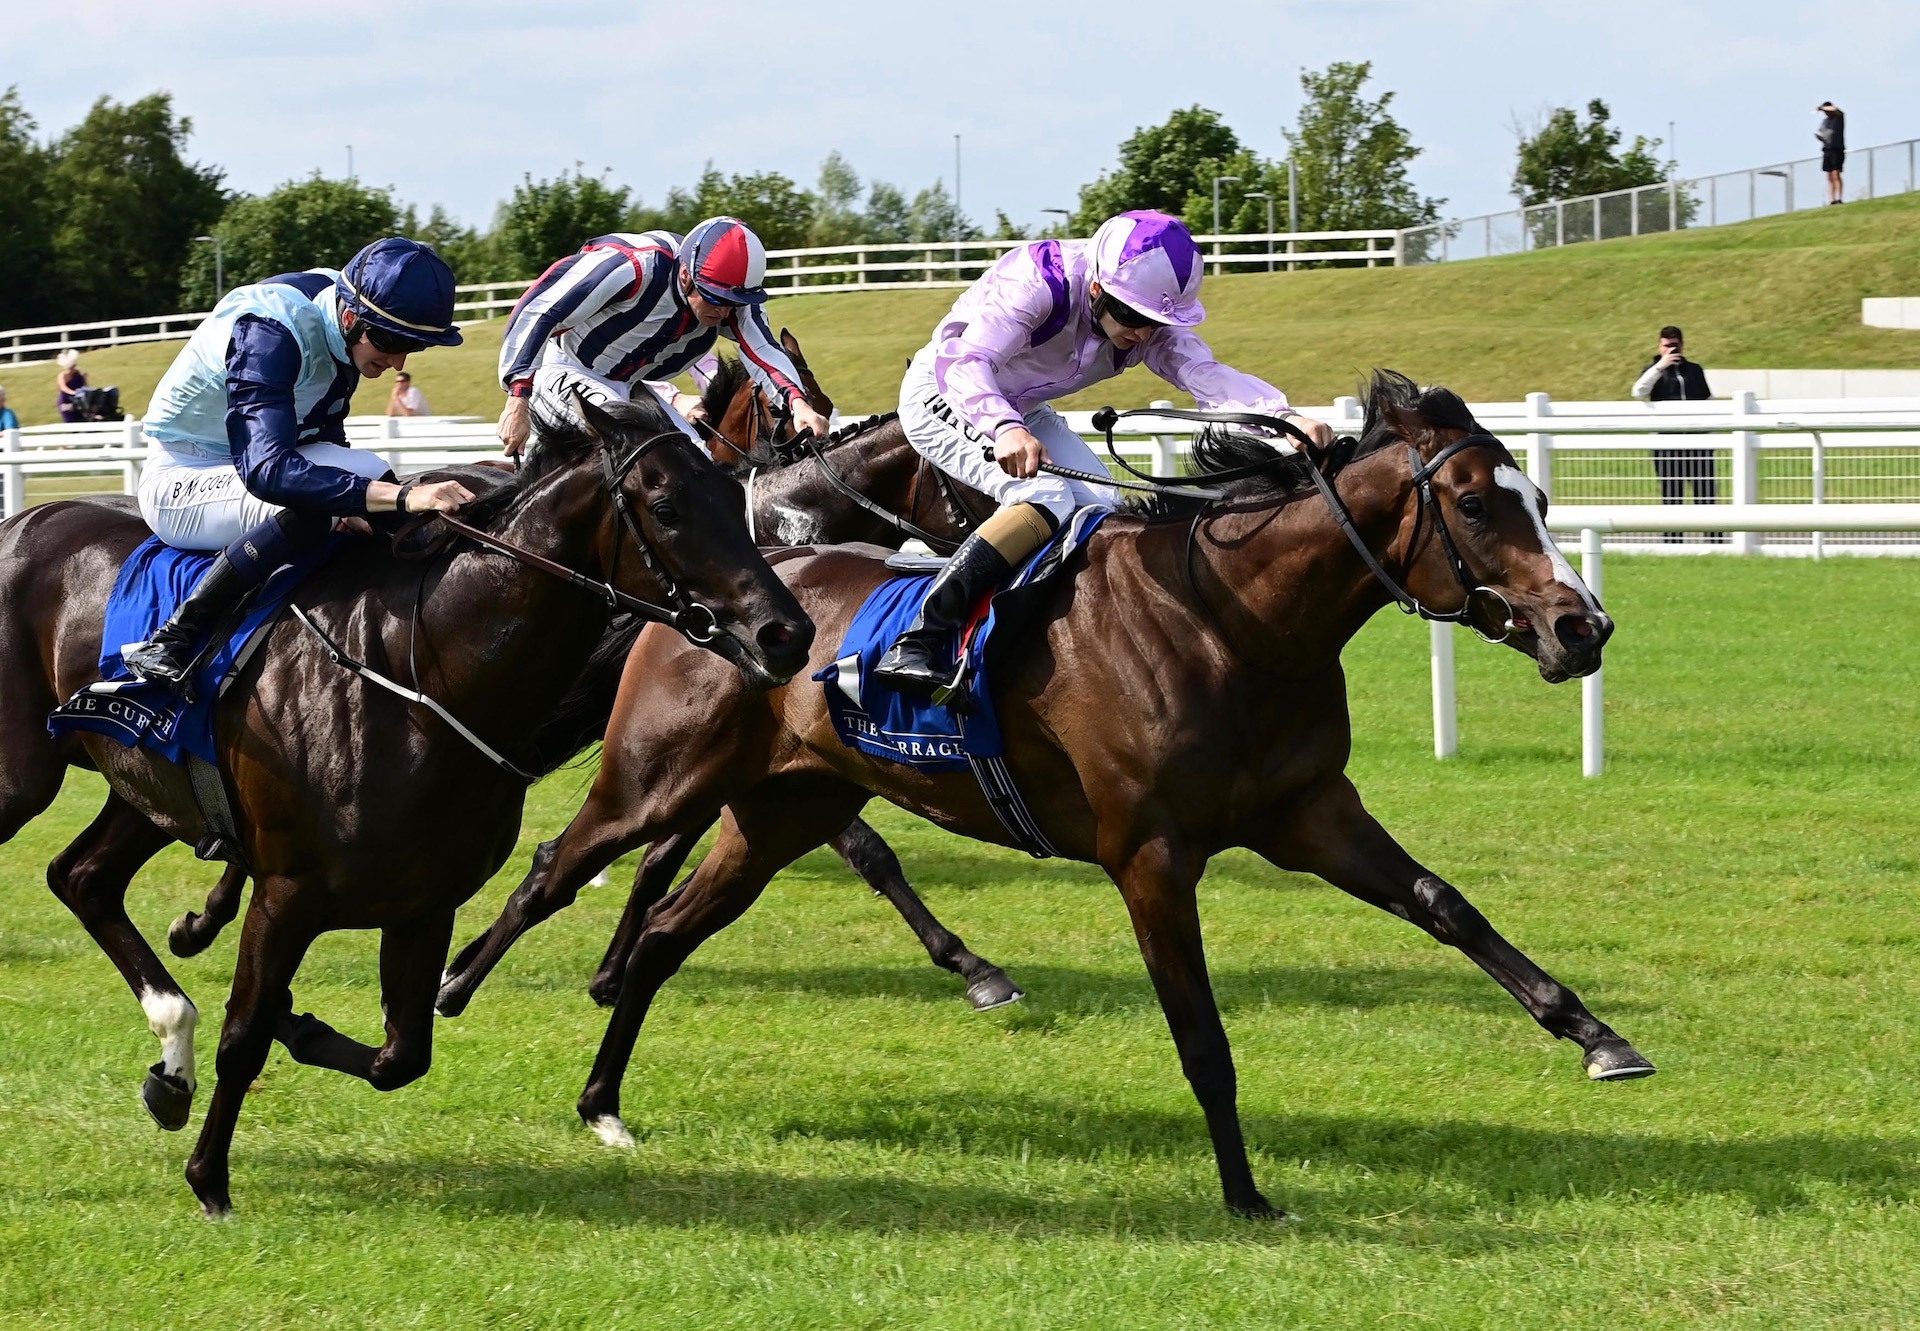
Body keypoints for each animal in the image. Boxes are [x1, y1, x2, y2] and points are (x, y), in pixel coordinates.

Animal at [0, 389, 810, 1206]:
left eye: (735, 500)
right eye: (668, 507)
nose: (789, 633)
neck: (421, 678)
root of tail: (23, 521)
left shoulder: (426, 900)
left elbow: (401, 1055)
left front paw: (299, 1026)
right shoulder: (287, 893)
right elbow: (245, 1036)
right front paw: (210, 1180)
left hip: (145, 792)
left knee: (81, 877)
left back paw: (172, 1057)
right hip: (24, 779)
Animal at [439, 374, 1651, 1213]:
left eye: (1541, 495)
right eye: (1473, 505)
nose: (1582, 626)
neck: (1236, 618)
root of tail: (697, 607)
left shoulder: (1310, 811)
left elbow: (1448, 904)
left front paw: (1598, 1035)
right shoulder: (1150, 854)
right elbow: (1200, 1031)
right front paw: (1245, 1190)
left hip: (784, 813)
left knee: (663, 934)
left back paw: (603, 1102)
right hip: (658, 781)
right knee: (557, 868)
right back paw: (452, 987)